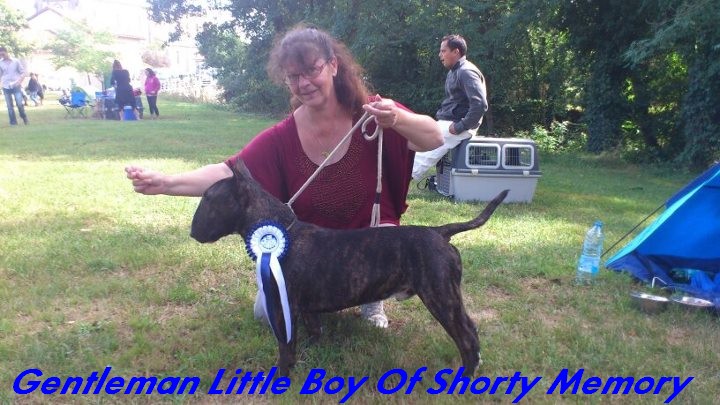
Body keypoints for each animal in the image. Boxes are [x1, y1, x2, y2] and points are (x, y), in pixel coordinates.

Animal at [190, 160, 508, 376]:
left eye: (208, 198)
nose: (192, 232)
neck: (281, 232)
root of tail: (440, 232)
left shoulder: (283, 307)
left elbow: (285, 346)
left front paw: (282, 375)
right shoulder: (305, 308)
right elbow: (313, 330)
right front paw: (309, 354)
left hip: (441, 296)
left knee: (466, 335)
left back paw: (466, 375)